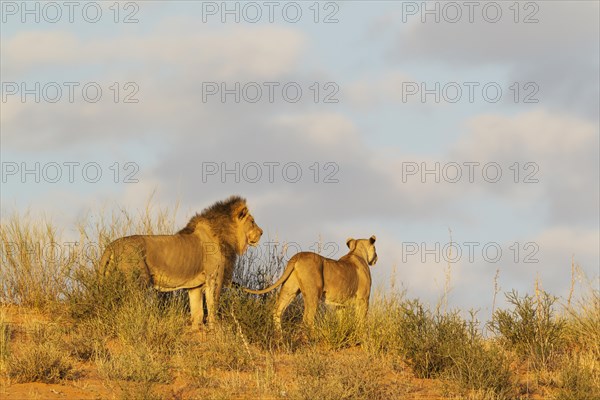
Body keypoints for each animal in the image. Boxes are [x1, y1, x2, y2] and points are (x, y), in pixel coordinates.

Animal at [99, 195, 262, 330]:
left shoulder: (195, 286)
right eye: (252, 222)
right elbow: (212, 305)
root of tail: (112, 245)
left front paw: (197, 330)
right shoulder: (214, 278)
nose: (261, 233)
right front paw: (215, 329)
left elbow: (197, 312)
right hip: (139, 281)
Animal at [243, 234, 376, 332]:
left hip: (289, 289)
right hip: (313, 293)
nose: (376, 258)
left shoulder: (340, 304)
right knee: (307, 319)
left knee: (277, 311)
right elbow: (362, 320)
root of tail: (298, 255)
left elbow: (342, 320)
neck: (356, 252)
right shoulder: (364, 299)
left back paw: (279, 336)